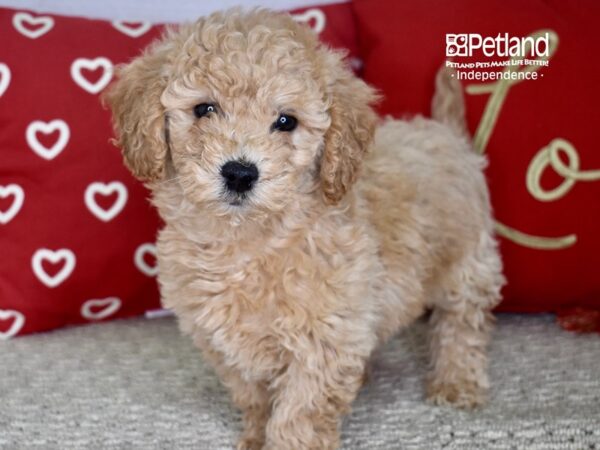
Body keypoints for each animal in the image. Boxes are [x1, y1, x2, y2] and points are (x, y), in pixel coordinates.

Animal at [105, 7, 504, 450]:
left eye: (286, 121)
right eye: (204, 109)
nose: (240, 173)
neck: (247, 242)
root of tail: (446, 134)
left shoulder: (321, 342)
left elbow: (300, 412)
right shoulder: (225, 342)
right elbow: (254, 394)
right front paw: (255, 436)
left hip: (468, 264)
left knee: (462, 326)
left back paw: (457, 382)